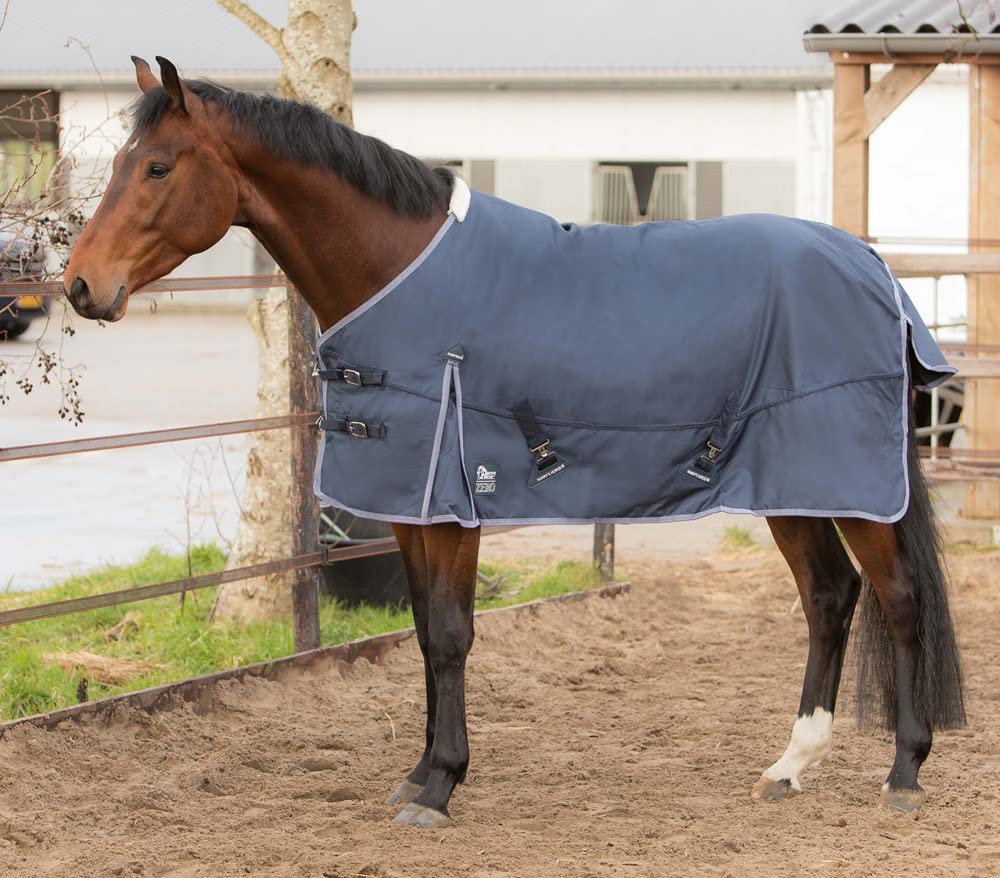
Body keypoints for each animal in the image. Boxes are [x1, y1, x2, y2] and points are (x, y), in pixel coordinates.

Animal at [64, 56, 965, 829]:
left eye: (157, 167)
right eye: (120, 162)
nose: (80, 286)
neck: (401, 270)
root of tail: (872, 267)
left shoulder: (456, 501)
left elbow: (452, 634)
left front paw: (441, 786)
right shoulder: (409, 505)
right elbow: (424, 632)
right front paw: (418, 774)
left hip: (850, 484)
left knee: (898, 598)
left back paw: (904, 773)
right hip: (796, 482)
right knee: (830, 598)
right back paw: (790, 766)